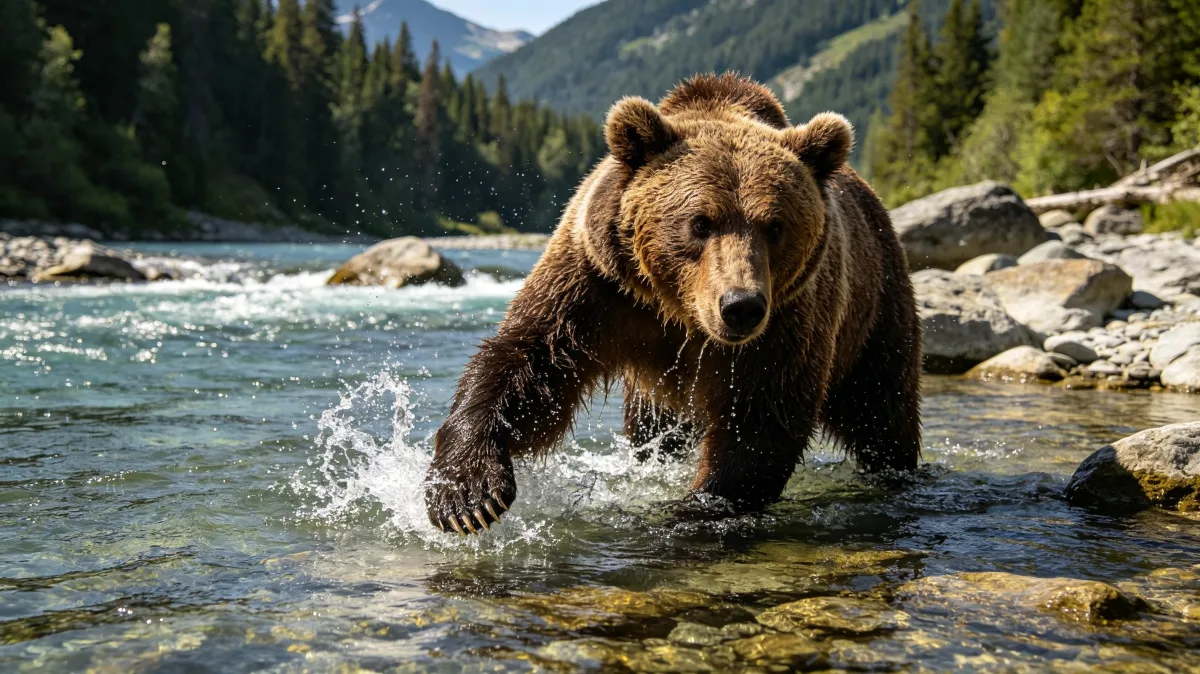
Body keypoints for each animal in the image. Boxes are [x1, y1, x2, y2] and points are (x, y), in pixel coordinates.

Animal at [423, 73, 922, 534]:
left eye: (775, 226)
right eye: (700, 222)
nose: (740, 305)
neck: (680, 311)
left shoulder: (787, 322)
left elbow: (761, 422)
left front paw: (694, 509)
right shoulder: (599, 285)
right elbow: (531, 364)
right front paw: (466, 494)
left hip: (875, 307)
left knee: (882, 408)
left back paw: (894, 471)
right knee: (653, 432)